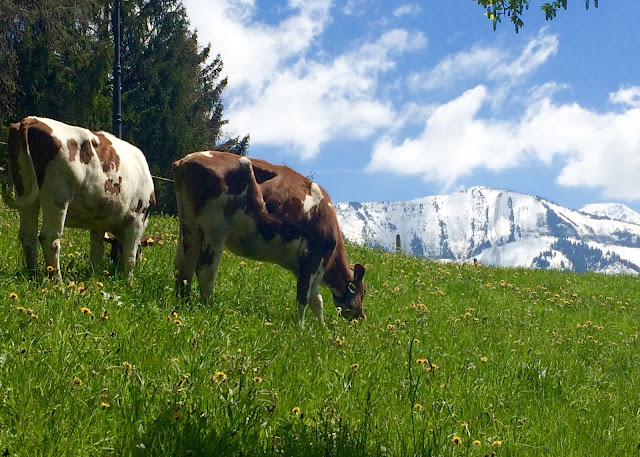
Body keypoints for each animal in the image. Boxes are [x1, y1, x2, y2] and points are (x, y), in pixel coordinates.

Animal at [1, 116, 156, 280]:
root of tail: (33, 119)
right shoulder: (137, 218)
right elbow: (130, 256)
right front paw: (128, 282)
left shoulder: (98, 223)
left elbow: (96, 252)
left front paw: (93, 277)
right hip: (57, 197)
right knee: (49, 238)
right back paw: (57, 281)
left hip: (25, 192)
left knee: (28, 237)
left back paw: (33, 276)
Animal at [172, 151, 368, 322]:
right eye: (363, 291)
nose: (362, 316)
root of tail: (188, 159)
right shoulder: (311, 259)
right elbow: (303, 298)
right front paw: (300, 327)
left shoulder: (306, 268)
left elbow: (316, 300)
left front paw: (321, 328)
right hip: (215, 228)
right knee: (205, 269)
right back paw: (209, 308)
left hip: (188, 223)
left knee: (183, 264)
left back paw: (183, 302)